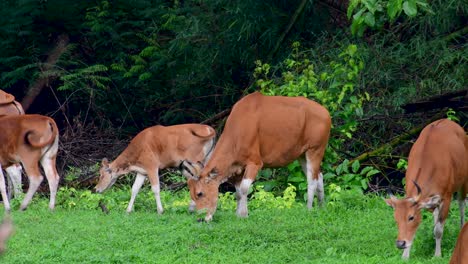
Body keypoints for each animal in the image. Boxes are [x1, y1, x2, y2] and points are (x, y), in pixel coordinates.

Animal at [181, 92, 330, 222]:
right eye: (191, 194)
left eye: (200, 193)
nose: (200, 218)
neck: (238, 130)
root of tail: (325, 112)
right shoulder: (238, 167)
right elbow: (238, 192)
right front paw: (239, 214)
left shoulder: (255, 163)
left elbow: (243, 189)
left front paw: (243, 215)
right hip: (302, 155)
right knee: (319, 175)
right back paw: (321, 206)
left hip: (315, 150)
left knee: (311, 180)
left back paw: (309, 208)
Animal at [384, 120, 468, 260]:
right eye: (396, 218)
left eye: (411, 217)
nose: (400, 243)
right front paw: (405, 255)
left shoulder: (447, 197)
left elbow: (438, 230)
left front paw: (437, 255)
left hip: (464, 182)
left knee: (462, 203)